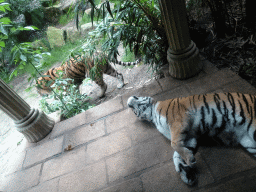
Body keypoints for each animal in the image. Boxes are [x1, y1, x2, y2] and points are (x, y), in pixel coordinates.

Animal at [127, 93, 256, 186]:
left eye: (136, 97)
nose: (129, 102)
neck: (153, 115)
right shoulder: (189, 137)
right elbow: (177, 154)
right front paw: (186, 171)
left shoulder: (179, 122)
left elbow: (174, 144)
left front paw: (189, 162)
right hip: (250, 143)